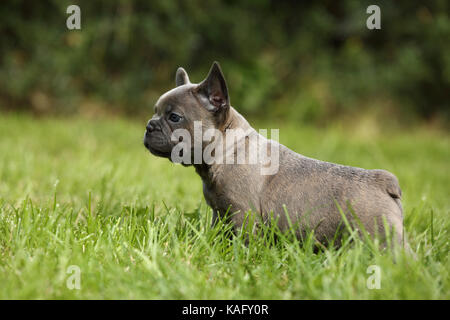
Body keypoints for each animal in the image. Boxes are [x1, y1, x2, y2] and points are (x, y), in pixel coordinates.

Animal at [144, 62, 404, 245]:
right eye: (155, 111)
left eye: (174, 117)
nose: (149, 125)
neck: (229, 151)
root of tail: (383, 181)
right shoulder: (220, 214)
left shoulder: (242, 214)